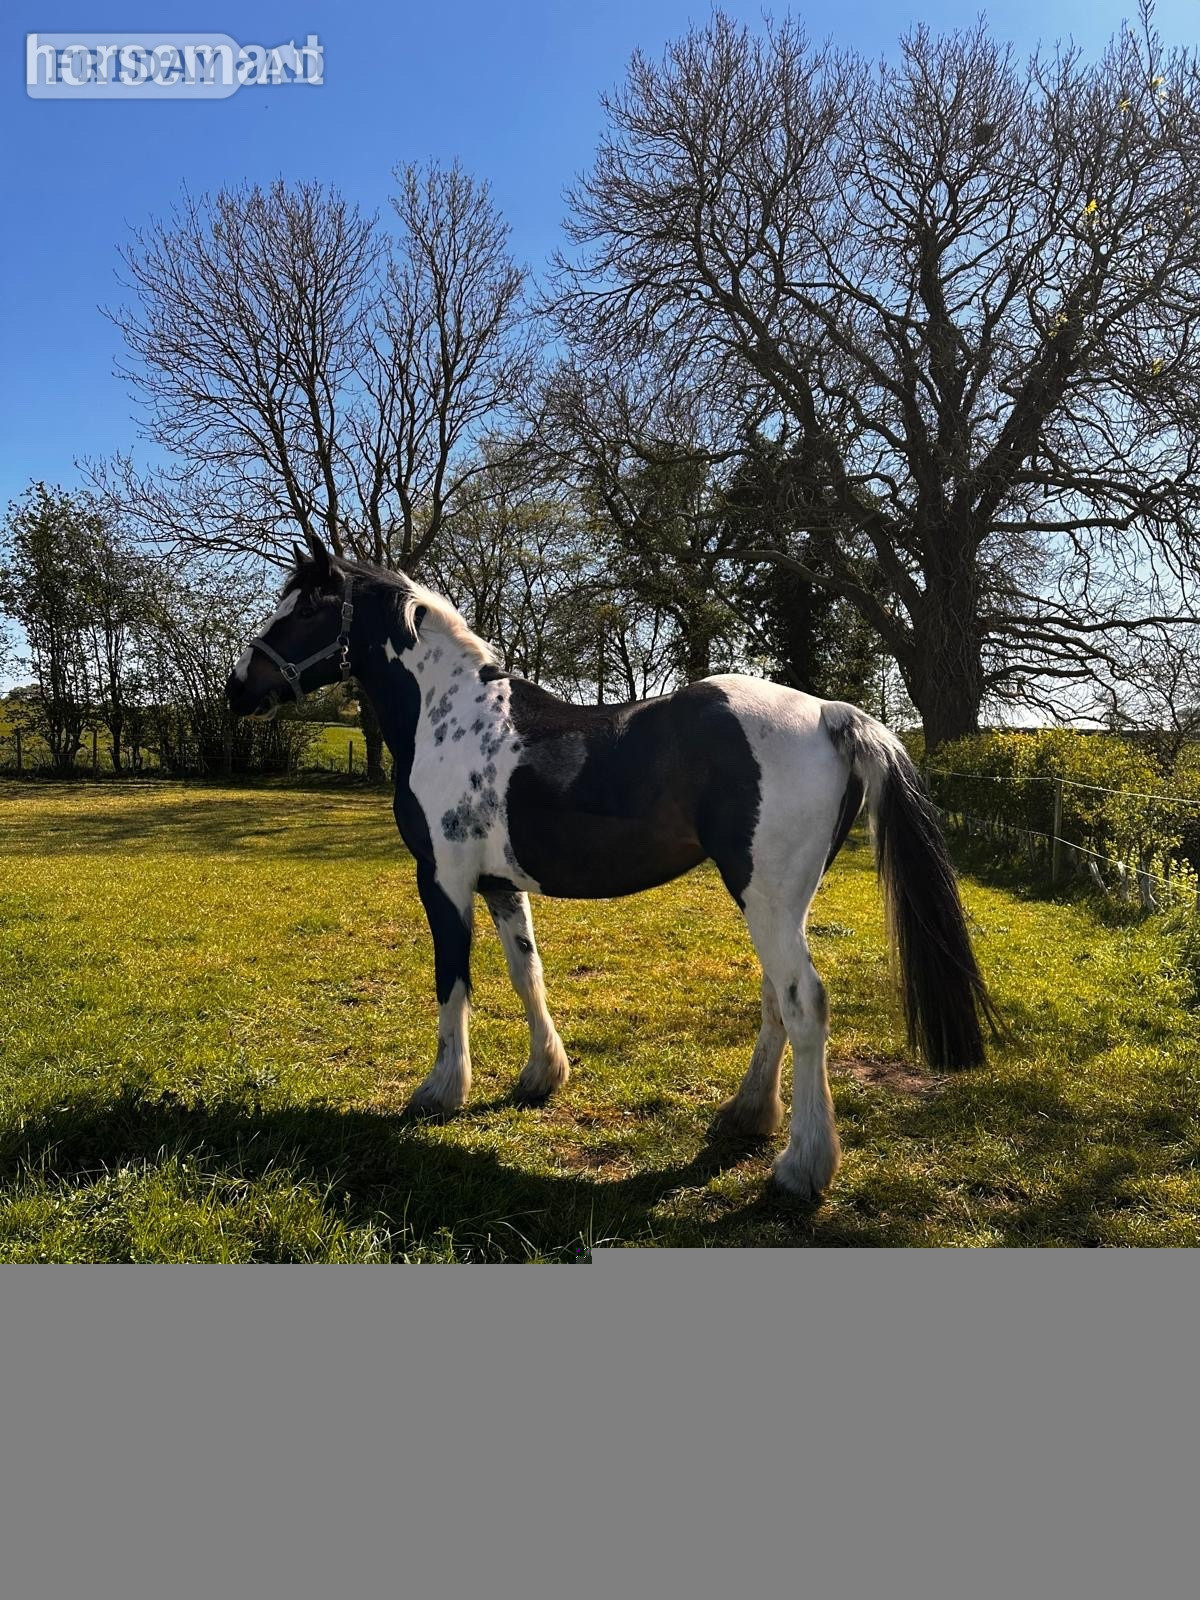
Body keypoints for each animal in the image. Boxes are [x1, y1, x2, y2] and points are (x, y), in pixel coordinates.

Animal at [227, 531, 997, 1200]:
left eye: (307, 608)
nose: (239, 688)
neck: (447, 717)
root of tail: (831, 713)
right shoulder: (501, 885)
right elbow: (526, 974)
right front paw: (542, 1075)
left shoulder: (443, 882)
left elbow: (453, 984)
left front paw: (440, 1092)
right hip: (777, 902)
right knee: (775, 999)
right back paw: (747, 1115)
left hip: (768, 898)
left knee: (804, 1002)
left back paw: (802, 1168)